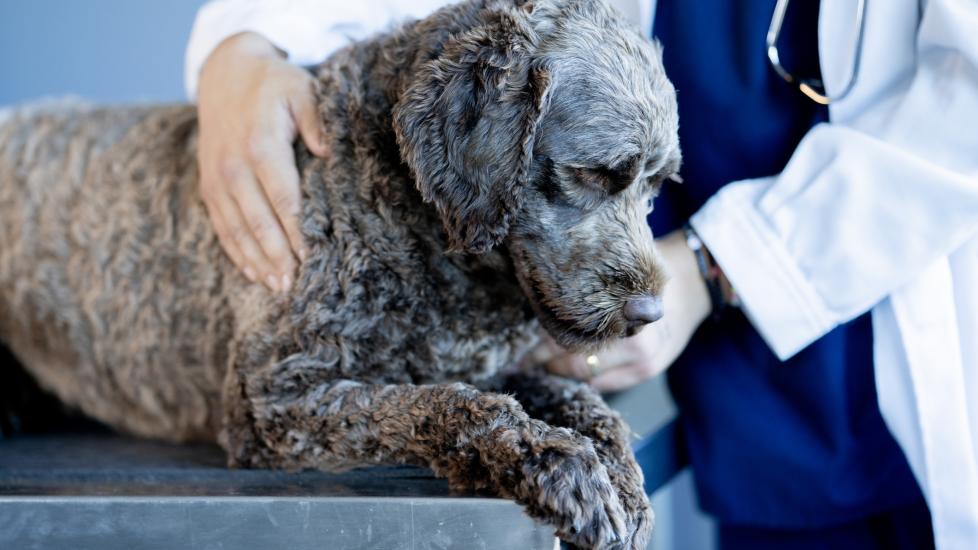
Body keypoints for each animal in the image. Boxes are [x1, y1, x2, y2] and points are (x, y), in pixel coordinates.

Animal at [0, 0, 680, 548]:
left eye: (656, 186)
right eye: (594, 174)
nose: (650, 315)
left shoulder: (493, 365)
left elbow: (581, 399)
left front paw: (618, 471)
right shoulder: (279, 399)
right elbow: (447, 404)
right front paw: (557, 460)